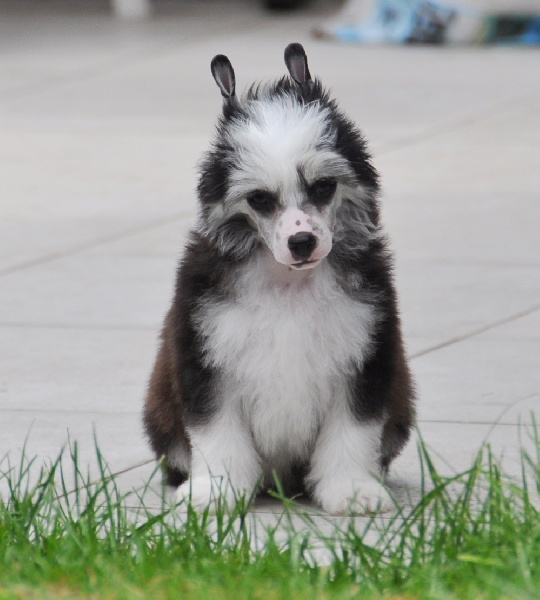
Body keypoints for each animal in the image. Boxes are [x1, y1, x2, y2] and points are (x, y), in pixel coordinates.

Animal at [142, 43, 414, 516]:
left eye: (323, 187)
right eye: (259, 200)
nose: (302, 242)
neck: (288, 282)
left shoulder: (366, 351)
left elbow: (353, 429)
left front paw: (351, 488)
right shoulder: (205, 355)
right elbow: (216, 431)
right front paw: (216, 490)